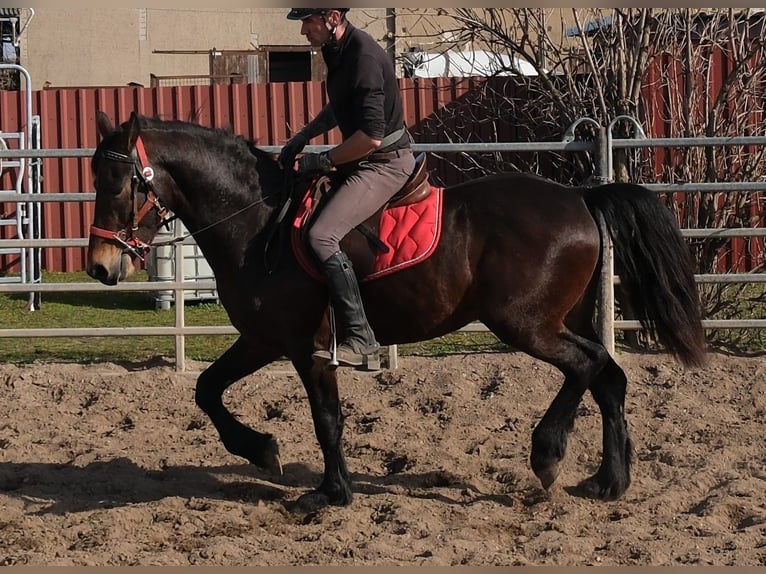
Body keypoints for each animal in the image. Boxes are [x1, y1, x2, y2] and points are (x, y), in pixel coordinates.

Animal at [86, 111, 707, 509]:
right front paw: (262, 451)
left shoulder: (306, 348)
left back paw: (548, 453)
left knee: (587, 366)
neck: (259, 221)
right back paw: (609, 481)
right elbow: (206, 389)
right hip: (561, 320)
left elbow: (326, 418)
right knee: (609, 378)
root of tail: (580, 195)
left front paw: (330, 493)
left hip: (527, 325)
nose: (99, 266)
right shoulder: (263, 339)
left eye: (118, 185)